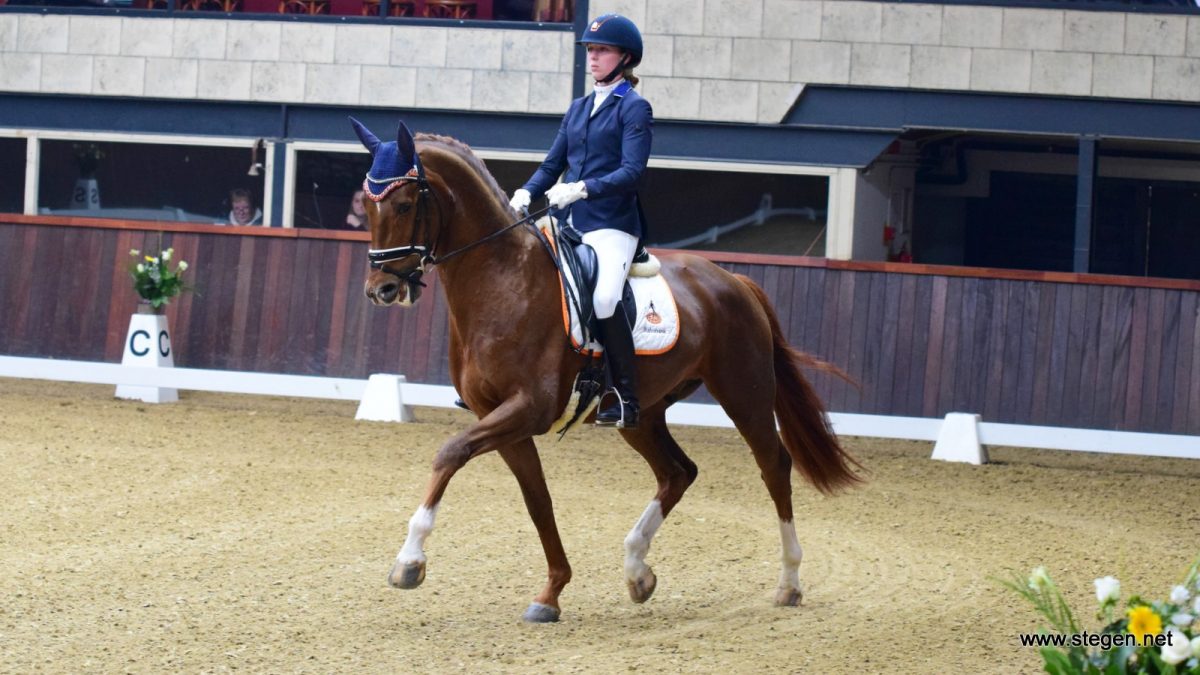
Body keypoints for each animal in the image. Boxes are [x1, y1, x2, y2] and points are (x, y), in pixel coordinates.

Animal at [348, 117, 864, 619]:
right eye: (368, 205)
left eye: (404, 204)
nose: (381, 291)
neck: (502, 280)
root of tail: (732, 278)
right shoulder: (499, 416)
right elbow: (538, 500)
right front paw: (551, 593)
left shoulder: (528, 408)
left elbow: (449, 453)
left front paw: (409, 561)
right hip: (643, 413)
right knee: (678, 472)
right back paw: (638, 570)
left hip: (745, 392)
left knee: (773, 466)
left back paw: (789, 583)